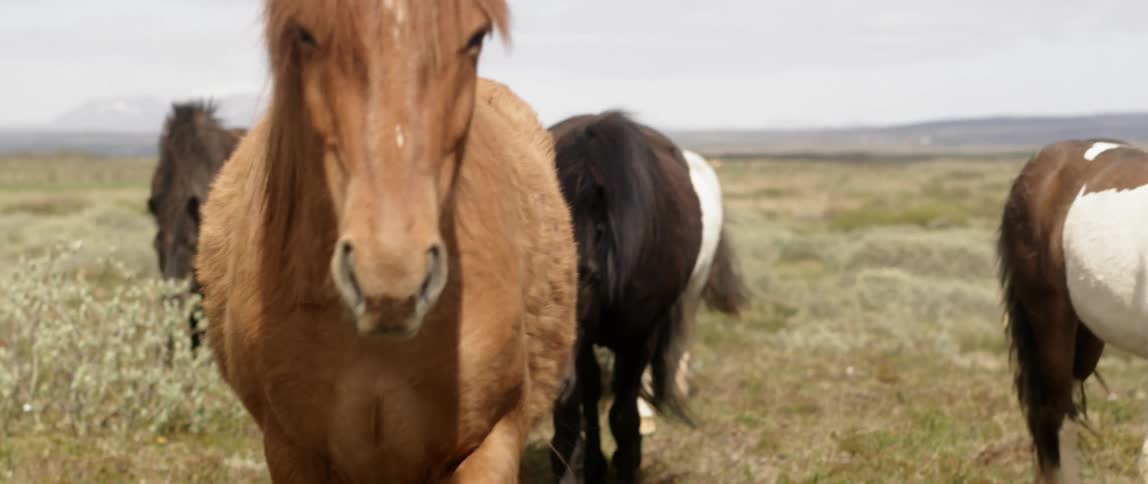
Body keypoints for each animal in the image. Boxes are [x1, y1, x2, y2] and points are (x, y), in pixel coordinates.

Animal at [547, 111, 748, 483]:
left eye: (586, 274)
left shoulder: (639, 335)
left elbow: (621, 415)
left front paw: (628, 461)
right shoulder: (583, 343)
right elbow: (587, 401)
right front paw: (593, 464)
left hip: (689, 295)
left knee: (679, 344)